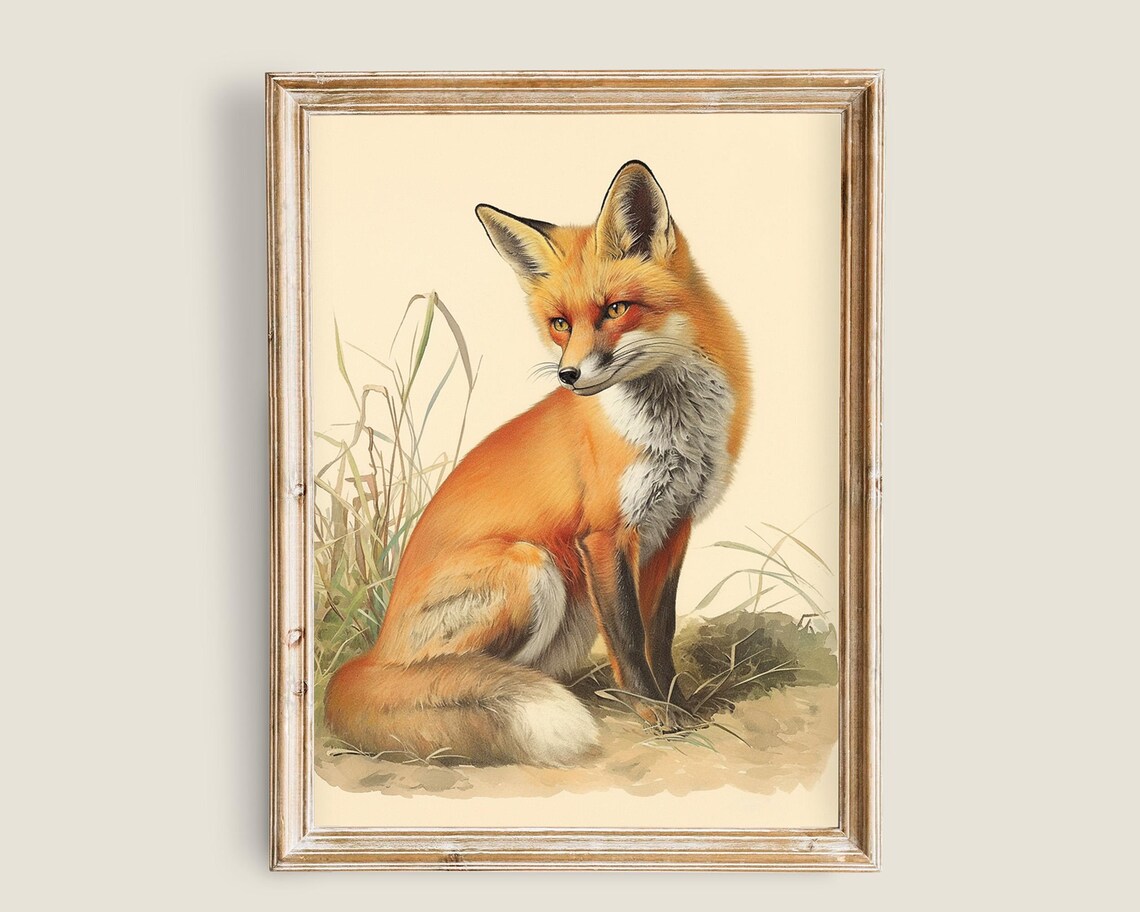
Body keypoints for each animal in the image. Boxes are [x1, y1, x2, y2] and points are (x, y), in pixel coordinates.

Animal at [325, 161, 750, 767]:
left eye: (616, 309)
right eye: (559, 323)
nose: (568, 376)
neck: (673, 430)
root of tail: (374, 652)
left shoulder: (674, 525)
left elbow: (660, 632)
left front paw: (680, 704)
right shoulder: (605, 534)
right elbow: (628, 637)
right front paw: (656, 713)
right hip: (532, 567)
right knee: (447, 675)